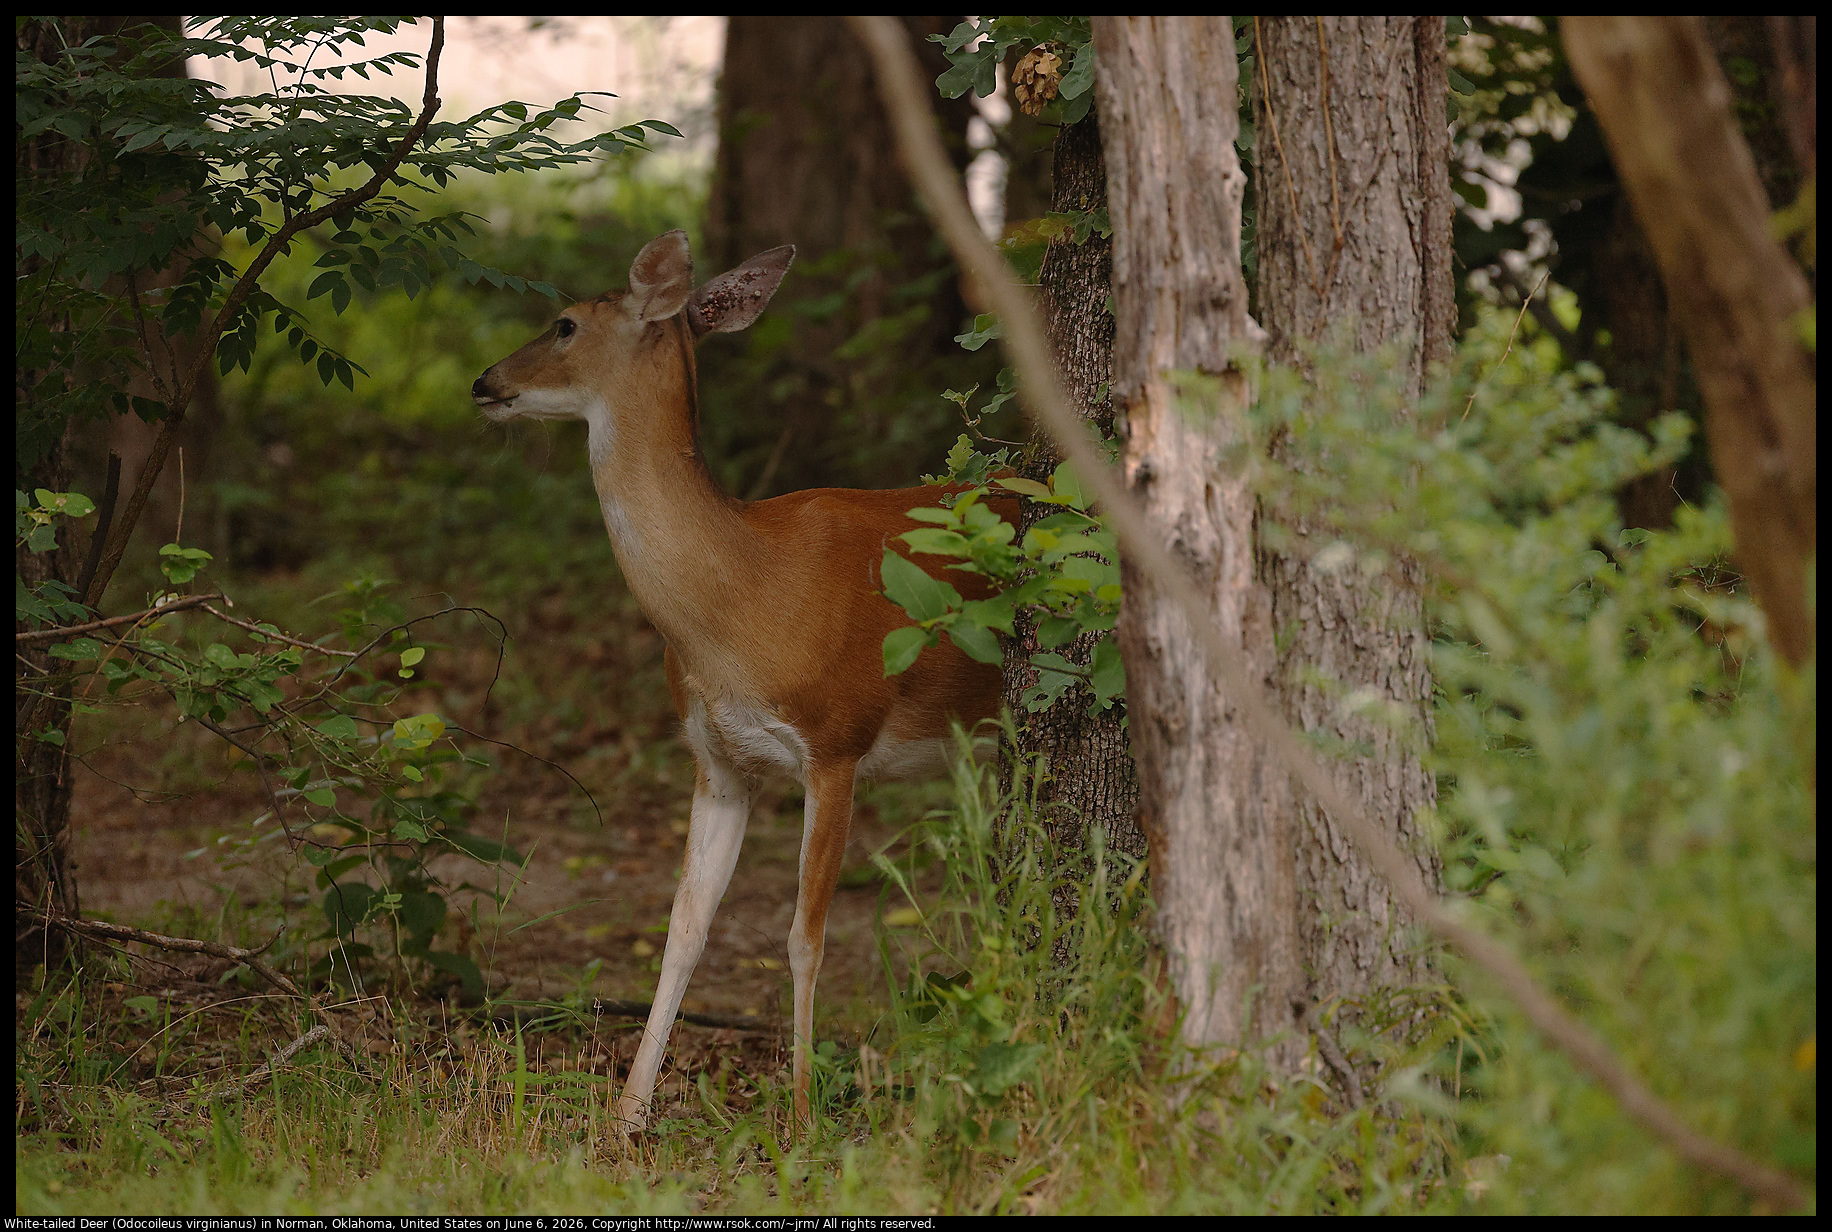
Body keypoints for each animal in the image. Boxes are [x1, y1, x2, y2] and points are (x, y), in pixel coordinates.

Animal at [472, 229, 1011, 1131]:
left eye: (565, 323)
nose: (485, 381)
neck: (738, 603)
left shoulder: (837, 740)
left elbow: (803, 936)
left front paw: (800, 1115)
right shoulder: (717, 758)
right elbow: (684, 927)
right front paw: (628, 1113)